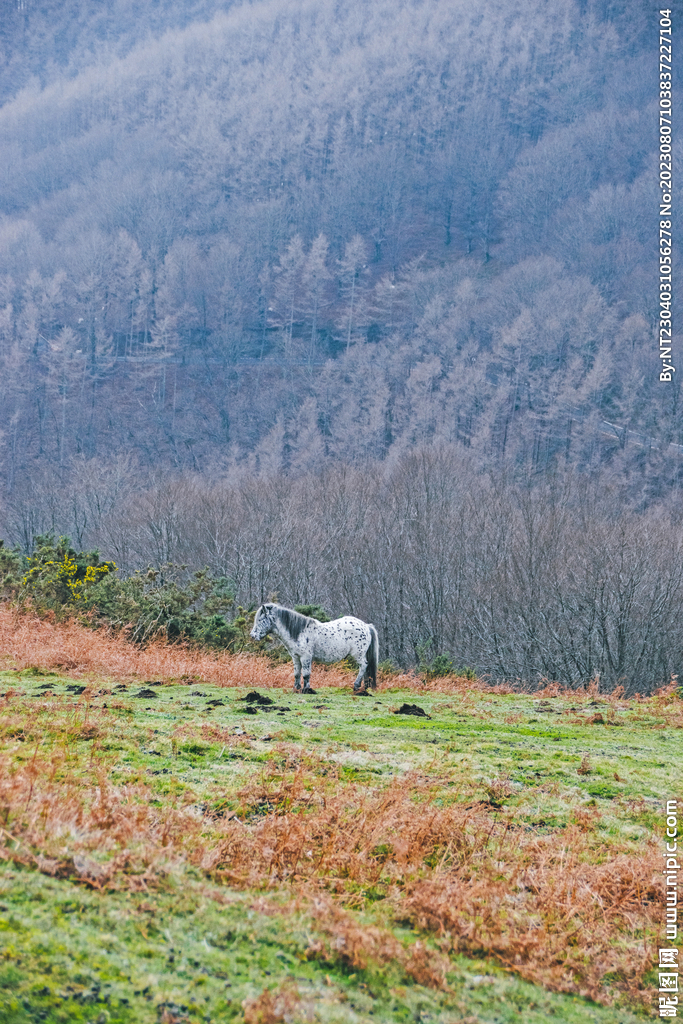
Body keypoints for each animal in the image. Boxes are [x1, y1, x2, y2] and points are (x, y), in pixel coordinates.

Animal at [250, 603, 379, 694]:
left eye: (260, 620)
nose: (252, 635)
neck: (299, 632)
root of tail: (366, 626)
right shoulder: (296, 657)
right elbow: (297, 673)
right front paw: (296, 689)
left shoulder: (305, 657)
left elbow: (306, 674)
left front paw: (306, 689)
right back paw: (364, 687)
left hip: (358, 654)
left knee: (363, 666)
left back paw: (356, 686)